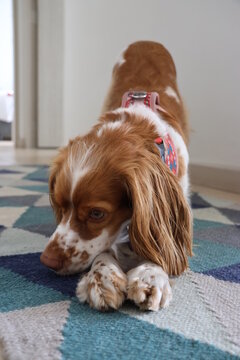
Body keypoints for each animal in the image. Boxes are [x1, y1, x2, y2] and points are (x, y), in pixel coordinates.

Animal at [39, 41, 193, 312]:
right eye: (59, 205)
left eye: (97, 214)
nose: (48, 260)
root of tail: (147, 41)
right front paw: (102, 277)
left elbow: (160, 241)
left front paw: (150, 275)